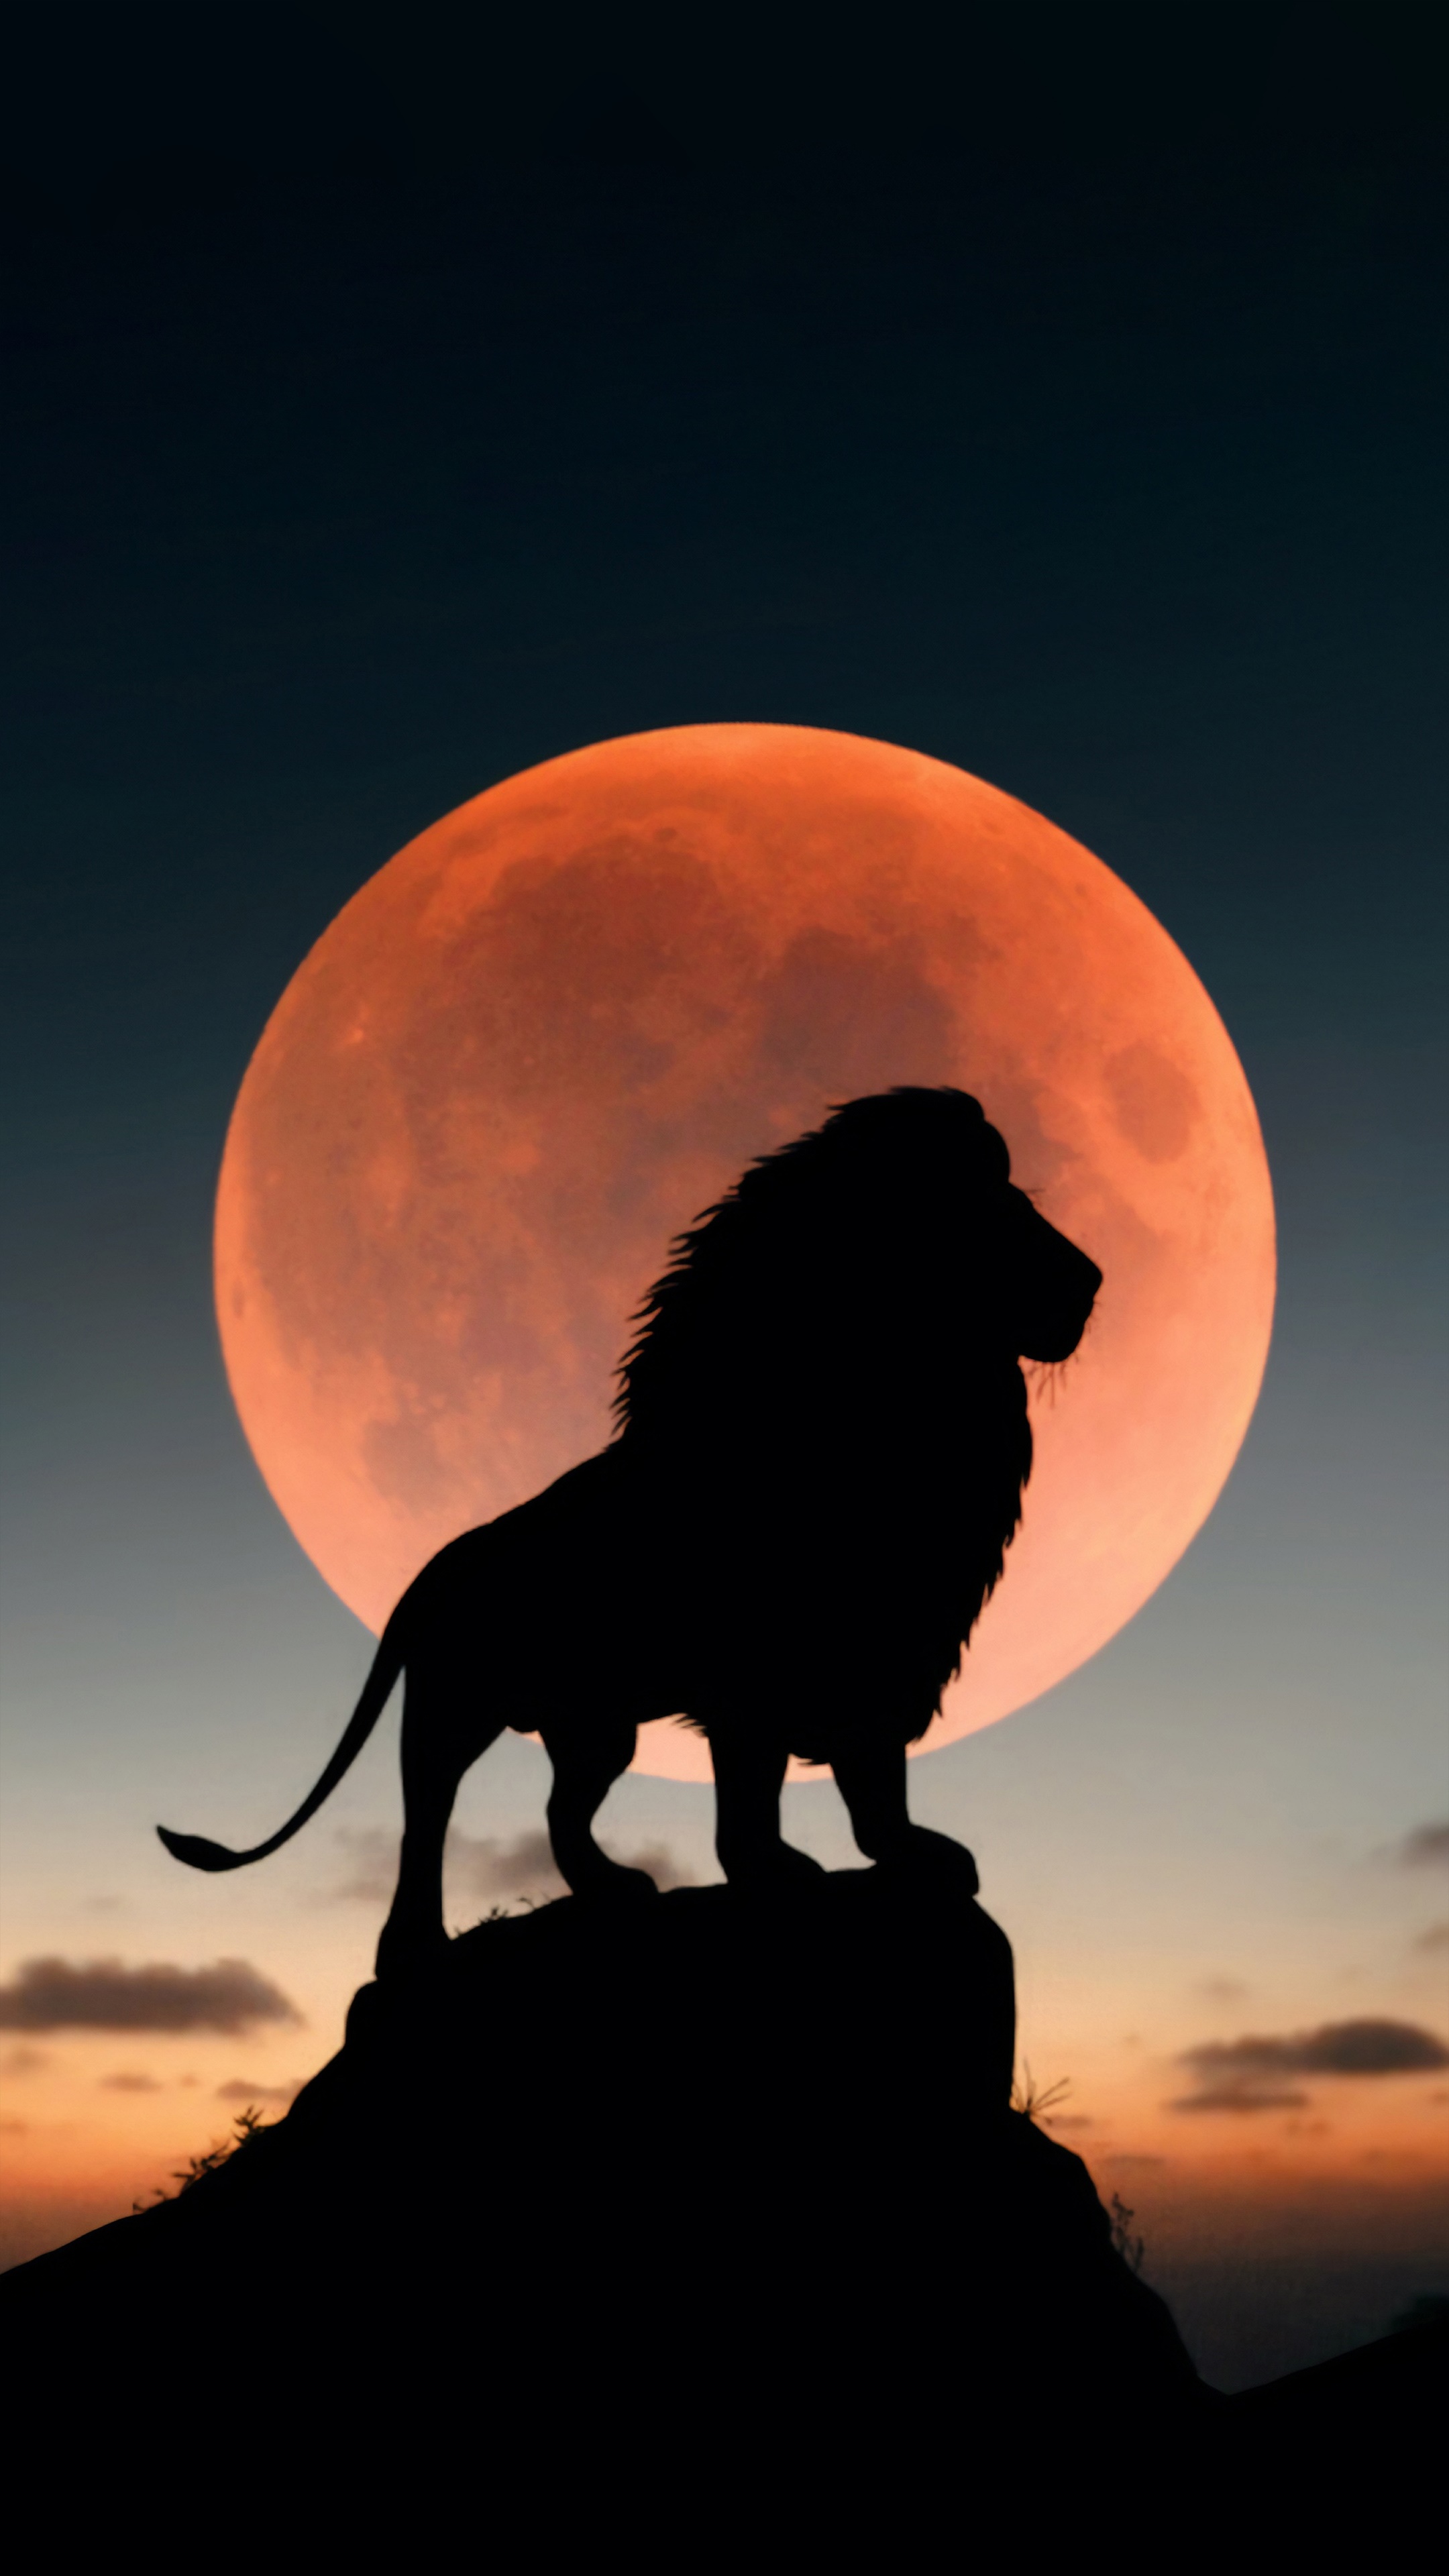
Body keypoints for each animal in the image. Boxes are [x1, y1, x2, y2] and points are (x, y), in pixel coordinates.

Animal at [159, 1088, 1101, 1974]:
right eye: (991, 1208)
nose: (1092, 1281)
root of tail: (431, 1571)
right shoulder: (757, 1680)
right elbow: (754, 1794)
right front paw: (776, 1872)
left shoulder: (891, 1657)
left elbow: (876, 1784)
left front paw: (909, 1856)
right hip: (454, 1708)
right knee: (425, 1820)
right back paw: (411, 1949)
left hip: (596, 1727)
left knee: (560, 1812)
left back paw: (613, 1888)